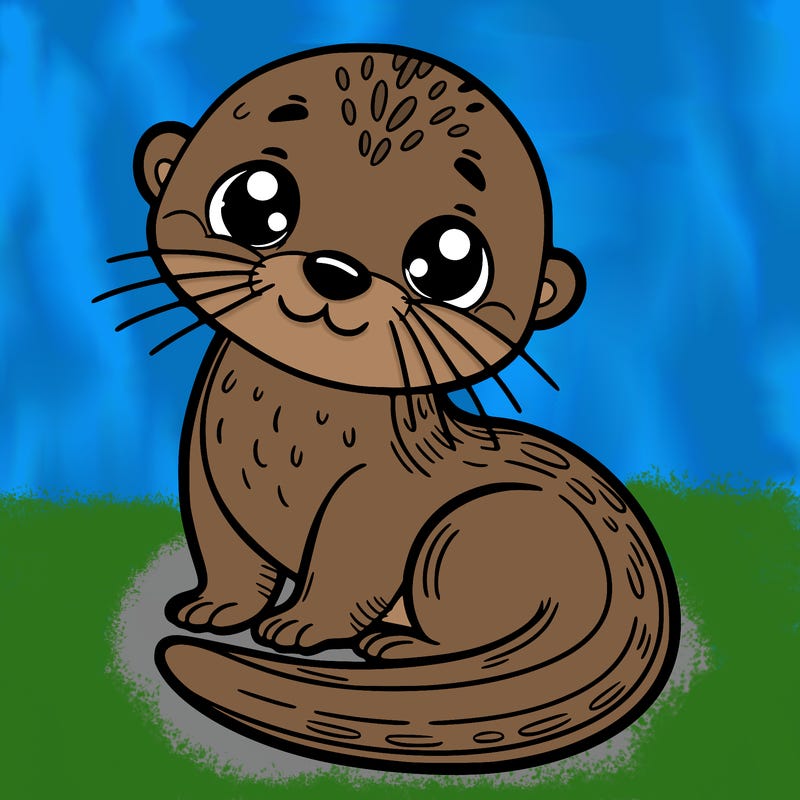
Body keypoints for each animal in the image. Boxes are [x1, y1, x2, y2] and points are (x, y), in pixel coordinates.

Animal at [107, 45, 679, 773]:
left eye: (450, 261)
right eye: (254, 200)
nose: (335, 270)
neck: (283, 436)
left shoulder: (377, 497)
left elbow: (350, 568)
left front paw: (300, 626)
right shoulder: (206, 474)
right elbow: (227, 552)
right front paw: (214, 608)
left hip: (470, 531)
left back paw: (400, 647)